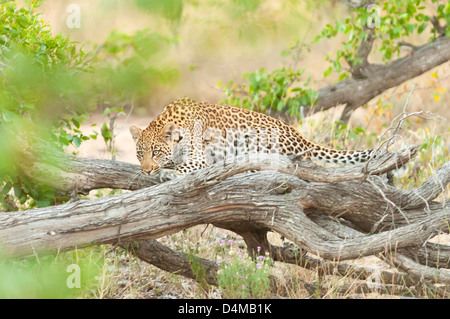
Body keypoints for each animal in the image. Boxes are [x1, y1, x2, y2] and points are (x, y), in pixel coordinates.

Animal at [131, 98, 376, 178]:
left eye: (156, 152)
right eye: (140, 153)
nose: (145, 170)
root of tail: (301, 137)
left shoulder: (199, 158)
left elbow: (183, 167)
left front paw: (167, 172)